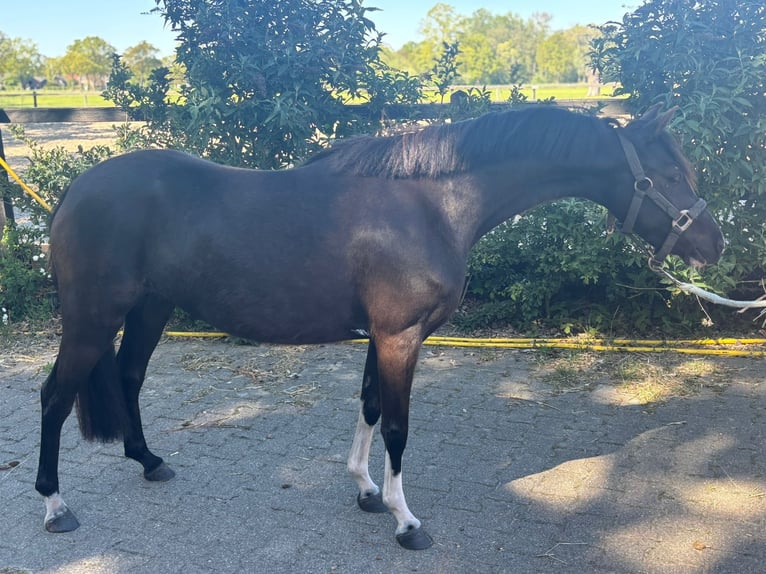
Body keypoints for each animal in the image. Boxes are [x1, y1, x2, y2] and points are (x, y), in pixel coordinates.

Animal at [36, 104, 724, 549]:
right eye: (668, 175)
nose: (713, 246)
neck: (431, 205)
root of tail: (75, 190)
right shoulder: (400, 337)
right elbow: (396, 424)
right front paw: (404, 519)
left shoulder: (381, 338)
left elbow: (368, 406)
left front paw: (366, 490)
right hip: (93, 319)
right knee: (53, 398)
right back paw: (55, 506)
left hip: (149, 309)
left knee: (128, 377)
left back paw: (149, 461)